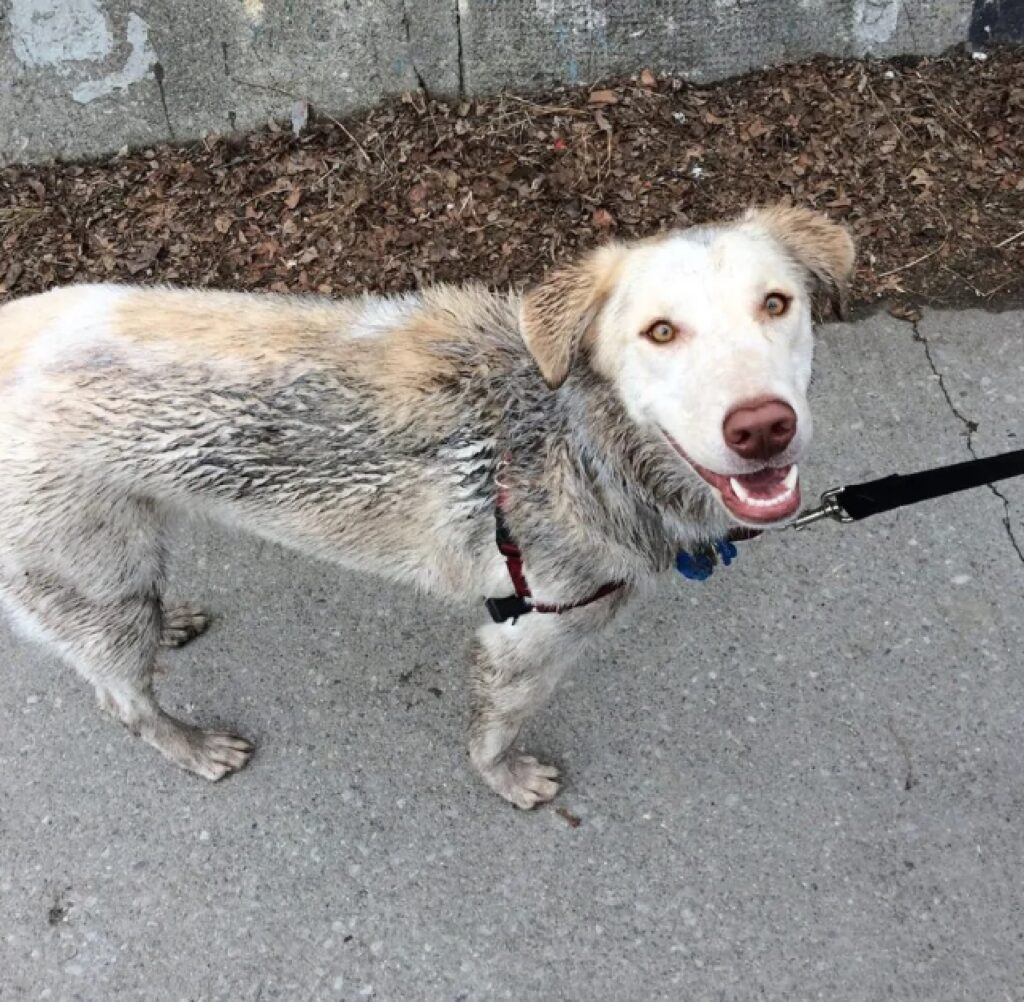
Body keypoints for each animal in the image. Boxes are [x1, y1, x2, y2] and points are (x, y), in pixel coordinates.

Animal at [0, 207, 851, 810]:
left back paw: (171, 620)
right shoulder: (529, 636)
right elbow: (495, 729)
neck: (576, 432)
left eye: (777, 304)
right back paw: (190, 744)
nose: (762, 426)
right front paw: (506, 780)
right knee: (122, 699)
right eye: (661, 332)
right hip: (90, 582)